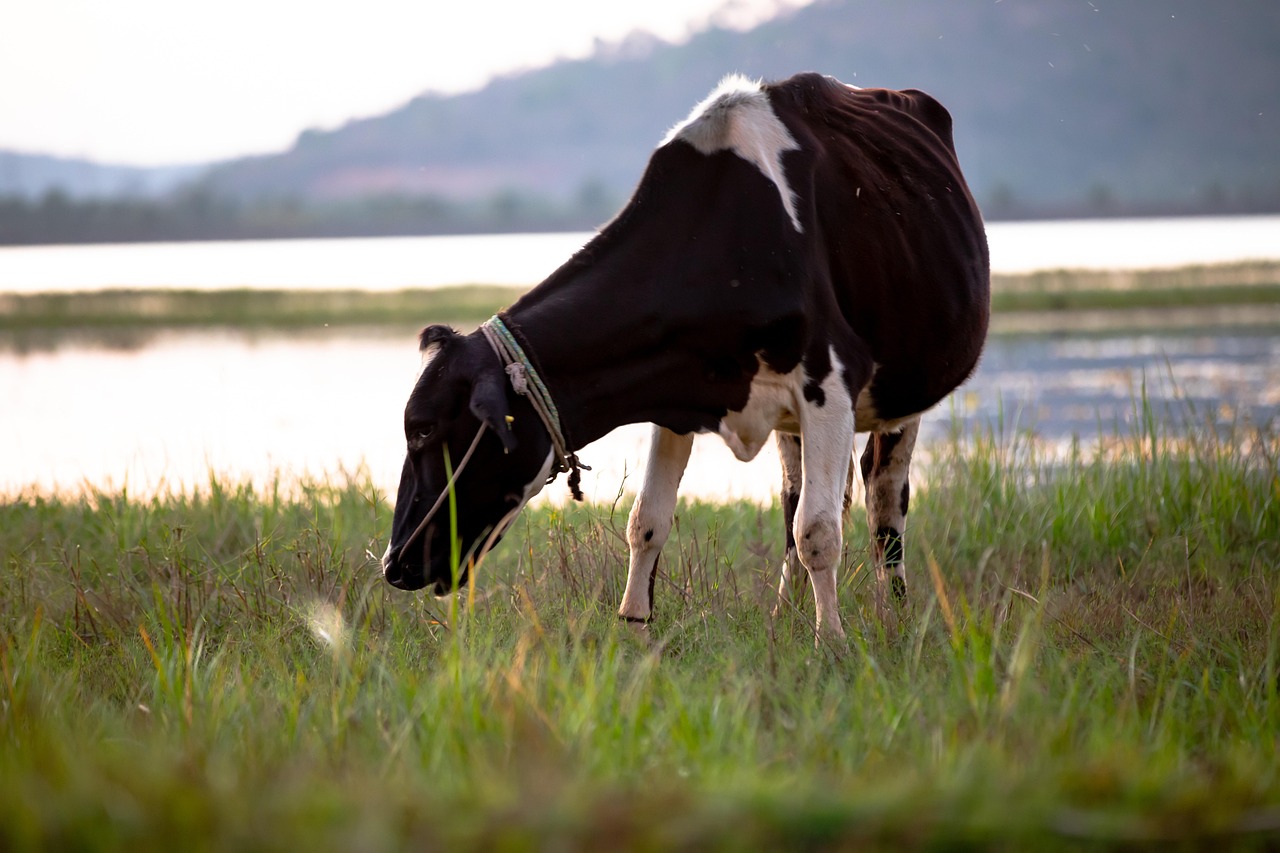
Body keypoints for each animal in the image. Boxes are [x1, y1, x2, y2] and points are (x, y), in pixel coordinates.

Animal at [381, 72, 989, 638]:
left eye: (424, 429)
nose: (393, 565)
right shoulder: (672, 391)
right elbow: (648, 519)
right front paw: (633, 628)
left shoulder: (833, 381)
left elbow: (817, 532)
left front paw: (832, 645)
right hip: (795, 421)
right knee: (803, 496)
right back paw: (785, 616)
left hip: (903, 389)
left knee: (882, 498)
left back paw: (893, 618)